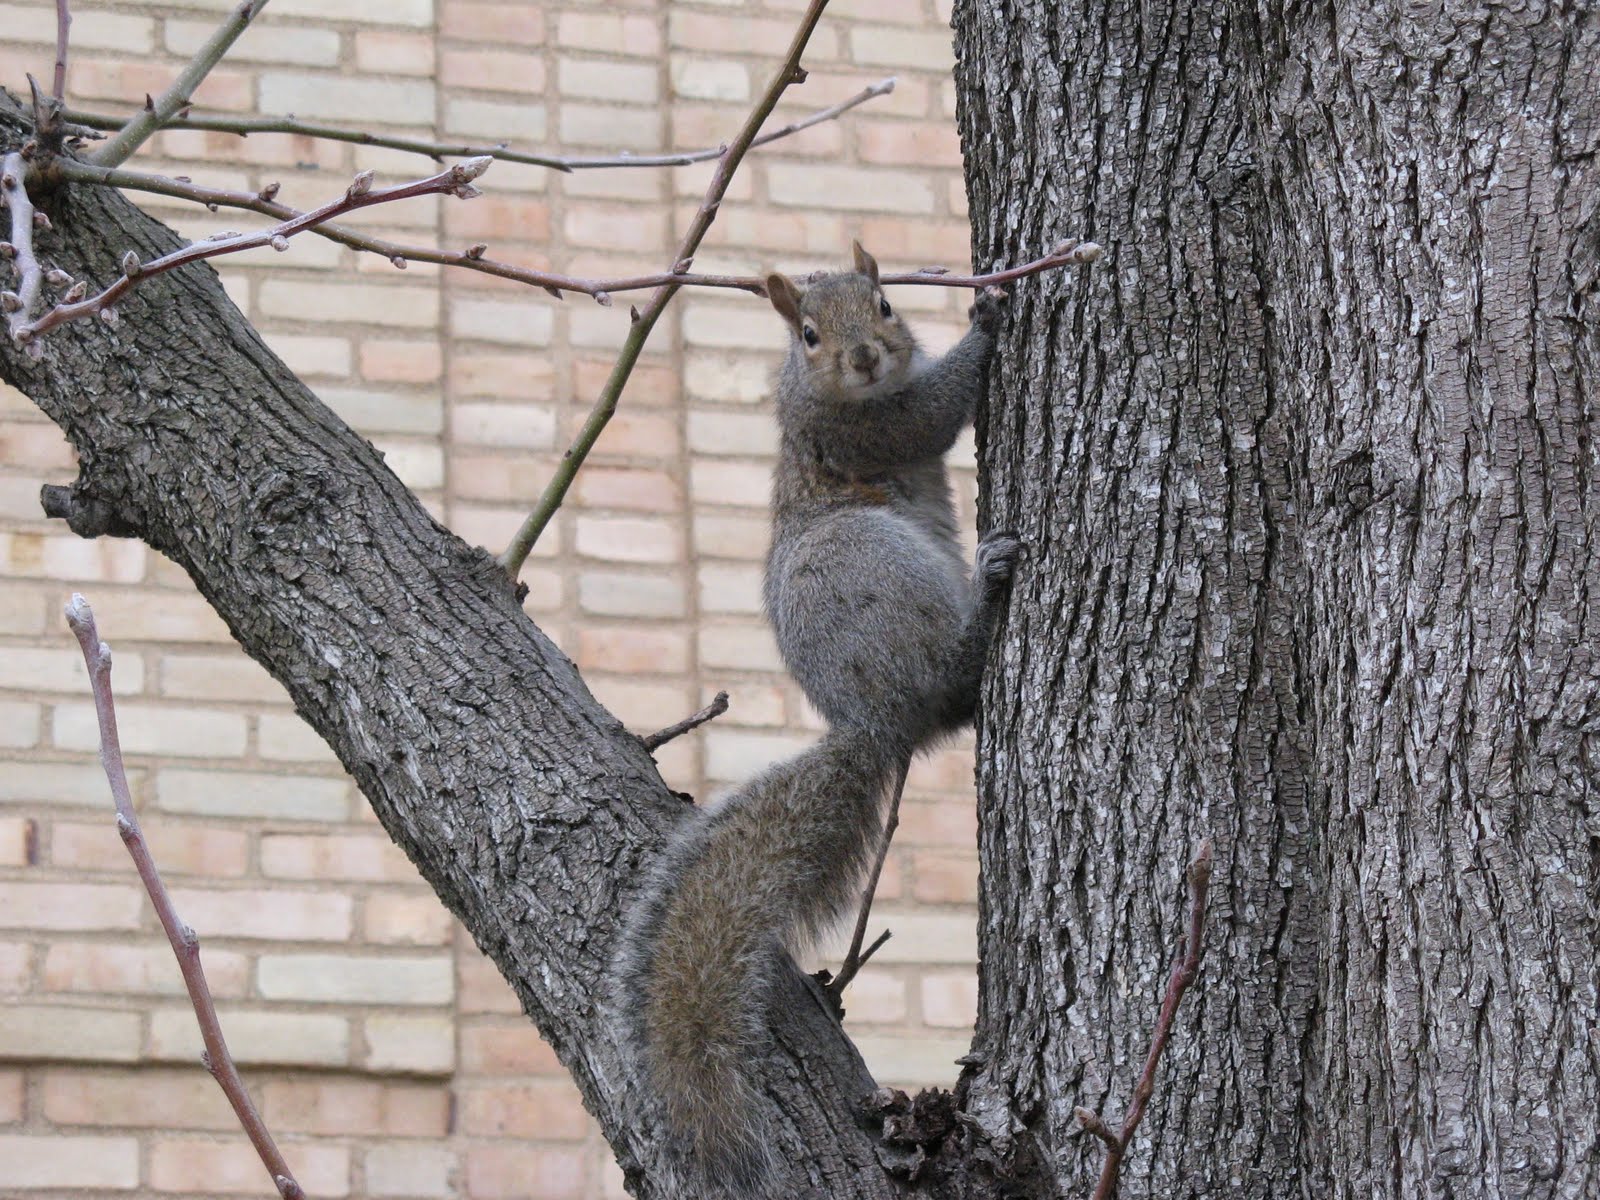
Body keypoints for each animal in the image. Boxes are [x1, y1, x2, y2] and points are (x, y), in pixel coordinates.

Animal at [614, 242, 1018, 1198]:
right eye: (805, 333)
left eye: (884, 304)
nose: (865, 357)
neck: (839, 392)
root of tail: (874, 722)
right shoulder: (855, 429)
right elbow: (929, 418)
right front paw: (985, 323)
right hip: (868, 564)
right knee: (950, 682)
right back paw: (983, 604)